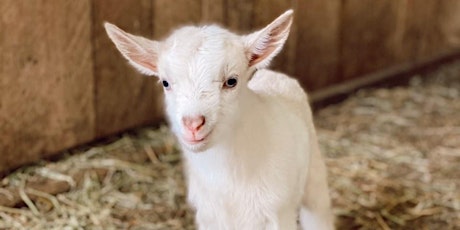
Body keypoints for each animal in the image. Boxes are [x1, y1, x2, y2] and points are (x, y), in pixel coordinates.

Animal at [104, 9, 334, 230]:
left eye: (231, 81)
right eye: (165, 83)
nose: (193, 124)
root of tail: (274, 75)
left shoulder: (278, 213)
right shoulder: (208, 216)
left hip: (314, 173)